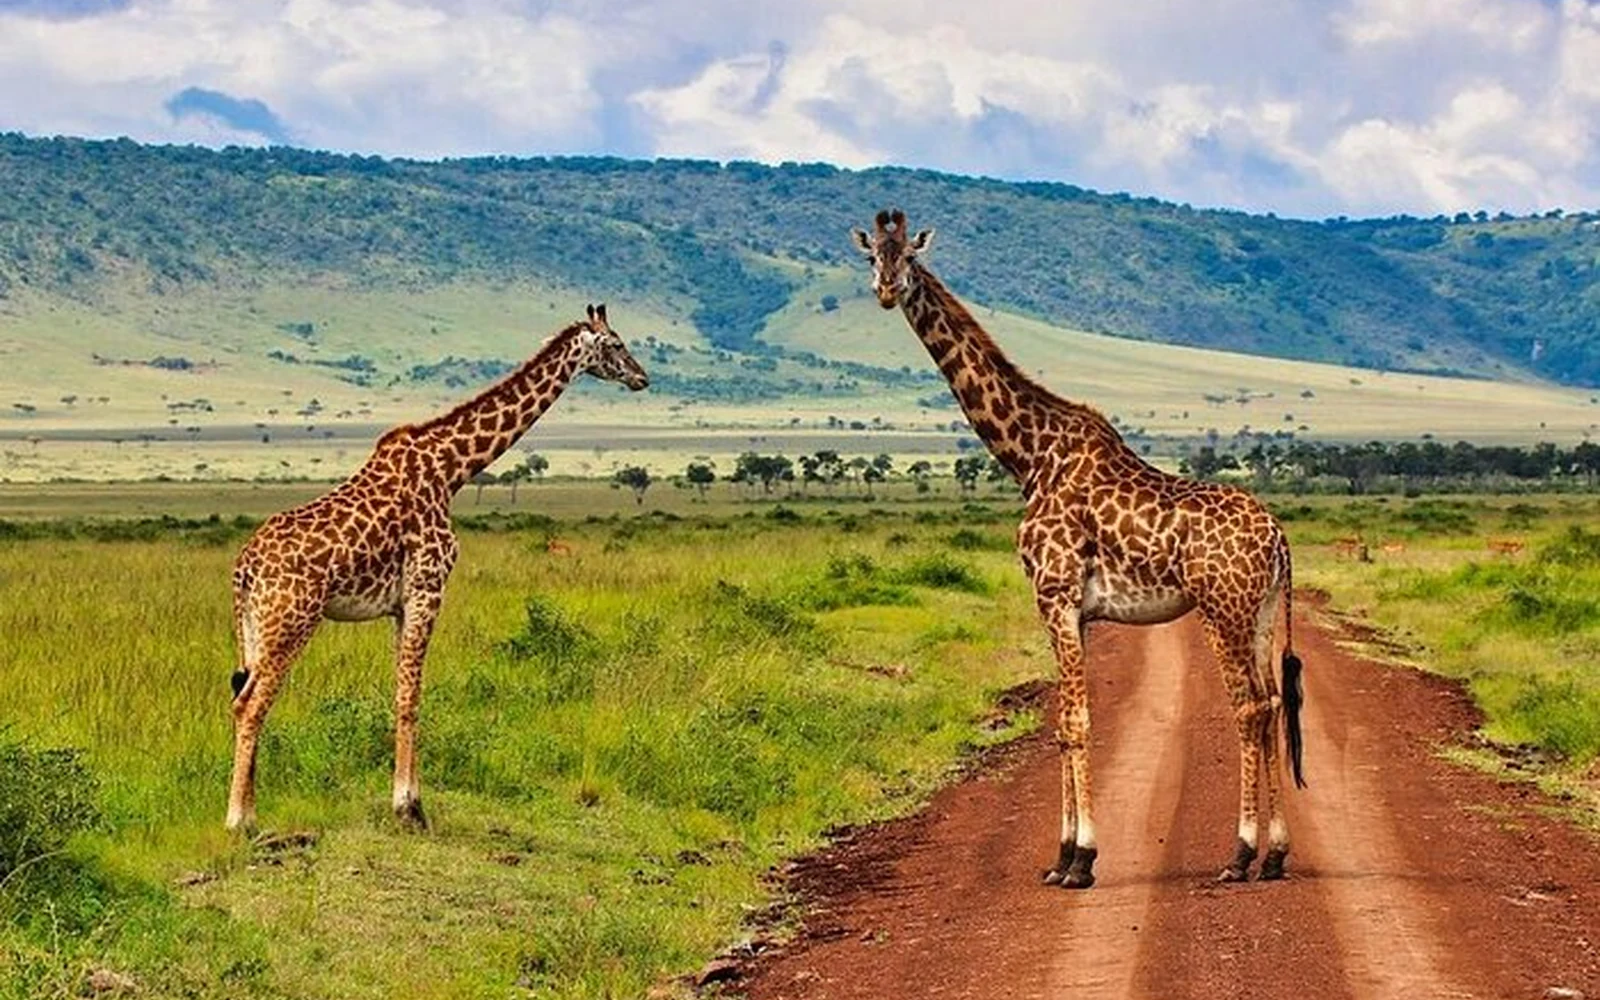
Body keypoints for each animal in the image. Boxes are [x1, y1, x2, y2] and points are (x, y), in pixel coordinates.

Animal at [225, 304, 648, 832]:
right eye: (616, 344)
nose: (642, 377)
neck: (452, 468)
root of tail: (244, 567)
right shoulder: (428, 588)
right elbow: (412, 696)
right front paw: (410, 808)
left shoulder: (401, 604)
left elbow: (401, 691)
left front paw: (408, 800)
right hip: (291, 621)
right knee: (250, 704)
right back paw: (239, 821)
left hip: (255, 625)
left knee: (242, 698)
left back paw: (250, 811)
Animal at [852, 210, 1305, 888]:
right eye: (870, 256)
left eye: (908, 255)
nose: (886, 290)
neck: (1029, 455)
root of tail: (1279, 538)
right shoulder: (1078, 611)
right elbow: (1065, 725)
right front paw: (1062, 856)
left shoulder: (1055, 595)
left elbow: (1075, 720)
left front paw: (1083, 860)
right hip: (1262, 610)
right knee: (1273, 704)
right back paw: (1275, 854)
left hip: (1221, 608)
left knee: (1249, 707)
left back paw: (1241, 853)